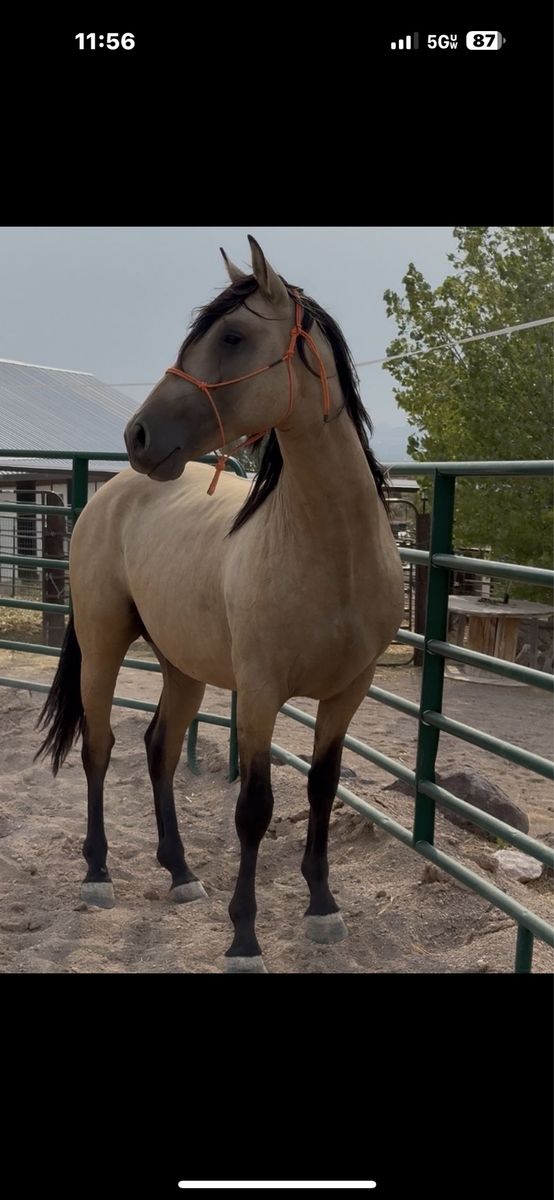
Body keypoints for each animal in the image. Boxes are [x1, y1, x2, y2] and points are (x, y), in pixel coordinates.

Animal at [36, 236, 404, 973]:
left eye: (232, 336)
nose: (139, 435)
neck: (334, 555)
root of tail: (110, 494)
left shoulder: (348, 692)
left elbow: (323, 786)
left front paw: (323, 909)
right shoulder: (259, 694)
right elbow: (254, 809)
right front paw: (244, 939)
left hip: (183, 665)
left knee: (159, 747)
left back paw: (180, 873)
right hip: (102, 645)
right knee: (99, 746)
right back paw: (97, 875)